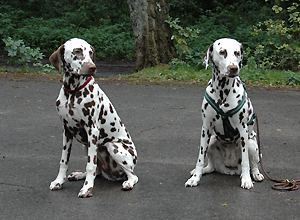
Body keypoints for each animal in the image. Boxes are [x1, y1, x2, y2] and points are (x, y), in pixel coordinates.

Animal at [49, 38, 138, 198]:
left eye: (90, 53)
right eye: (77, 51)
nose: (92, 67)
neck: (73, 92)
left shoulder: (92, 131)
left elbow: (90, 165)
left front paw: (87, 188)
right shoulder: (66, 131)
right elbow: (64, 161)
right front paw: (59, 182)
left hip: (112, 147)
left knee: (132, 175)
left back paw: (128, 182)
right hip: (86, 145)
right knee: (98, 171)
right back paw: (78, 175)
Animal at [184, 38, 264, 189]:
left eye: (237, 53)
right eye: (222, 52)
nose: (234, 68)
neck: (222, 91)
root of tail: (230, 169)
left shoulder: (243, 130)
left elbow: (246, 161)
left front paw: (246, 180)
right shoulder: (206, 128)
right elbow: (200, 158)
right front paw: (195, 178)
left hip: (252, 144)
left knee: (253, 164)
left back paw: (254, 174)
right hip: (211, 140)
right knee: (211, 165)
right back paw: (203, 171)